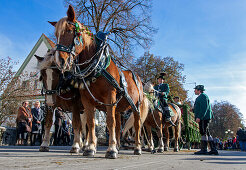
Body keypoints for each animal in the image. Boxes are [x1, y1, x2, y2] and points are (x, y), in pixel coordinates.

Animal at [48, 5, 147, 159]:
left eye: (69, 31)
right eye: (56, 34)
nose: (60, 61)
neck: (97, 65)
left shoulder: (110, 97)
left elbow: (110, 122)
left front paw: (111, 150)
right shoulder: (87, 100)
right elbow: (91, 123)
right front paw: (90, 148)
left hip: (136, 106)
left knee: (136, 125)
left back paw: (137, 147)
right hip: (118, 107)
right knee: (119, 125)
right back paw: (119, 146)